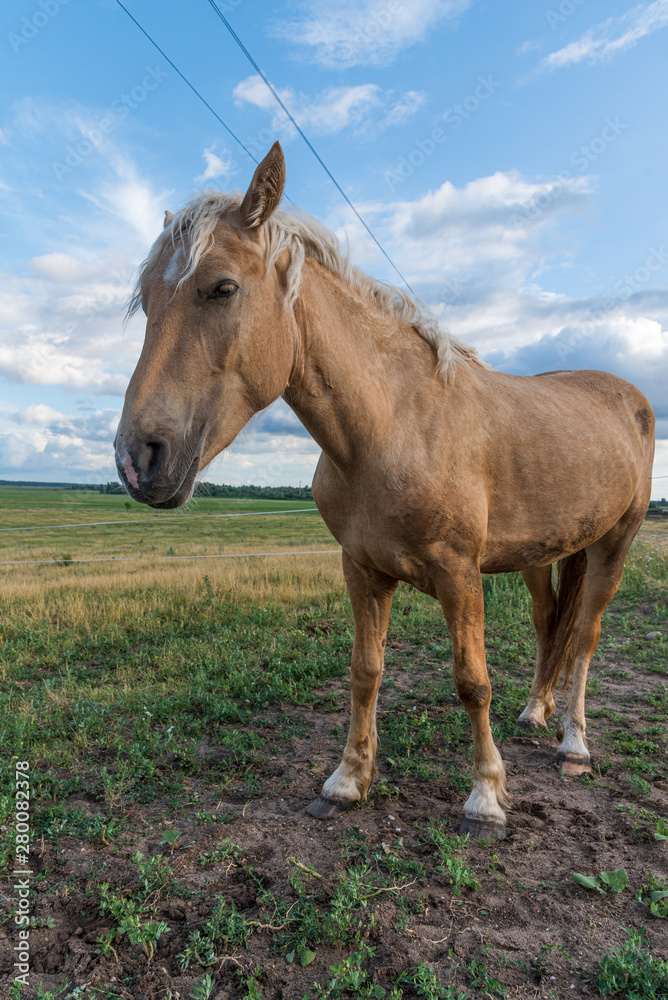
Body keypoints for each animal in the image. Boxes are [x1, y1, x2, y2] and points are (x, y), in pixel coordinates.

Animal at [113, 145, 652, 840]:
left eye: (223, 287)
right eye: (146, 300)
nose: (137, 458)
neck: (393, 425)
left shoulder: (459, 574)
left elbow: (472, 681)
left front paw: (486, 796)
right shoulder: (363, 569)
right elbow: (365, 671)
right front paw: (347, 781)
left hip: (615, 545)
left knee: (584, 634)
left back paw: (574, 742)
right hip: (544, 556)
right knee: (547, 626)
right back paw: (536, 711)